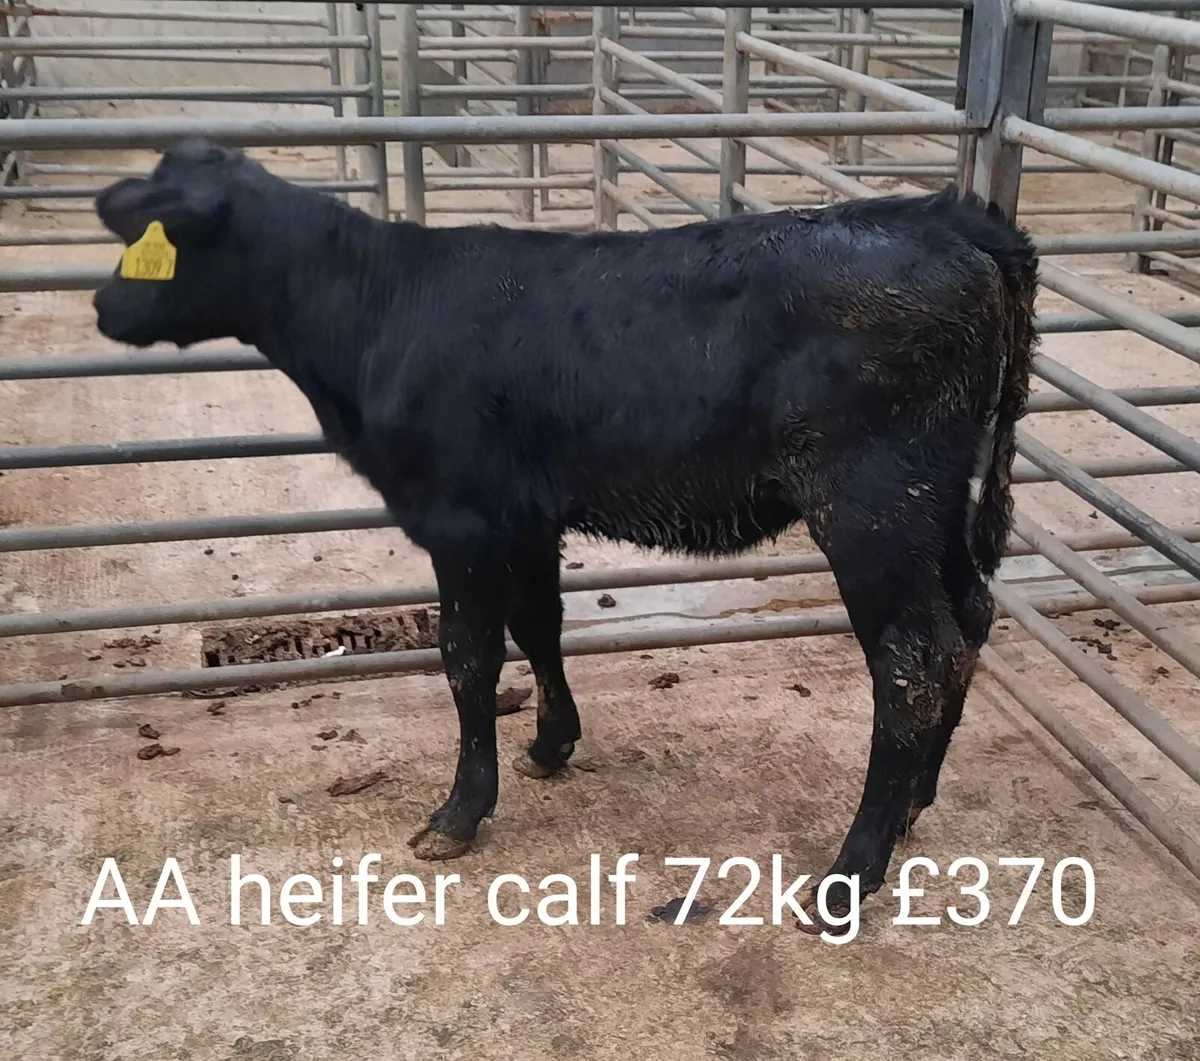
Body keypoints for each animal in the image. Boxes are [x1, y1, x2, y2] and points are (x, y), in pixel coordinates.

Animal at [91, 138, 1038, 930]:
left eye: (152, 237)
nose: (100, 303)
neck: (376, 310)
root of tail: (946, 218)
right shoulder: (526, 513)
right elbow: (539, 625)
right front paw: (551, 743)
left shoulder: (460, 517)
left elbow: (468, 658)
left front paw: (459, 810)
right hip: (935, 503)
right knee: (970, 619)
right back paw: (915, 804)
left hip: (871, 507)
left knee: (914, 661)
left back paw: (846, 877)